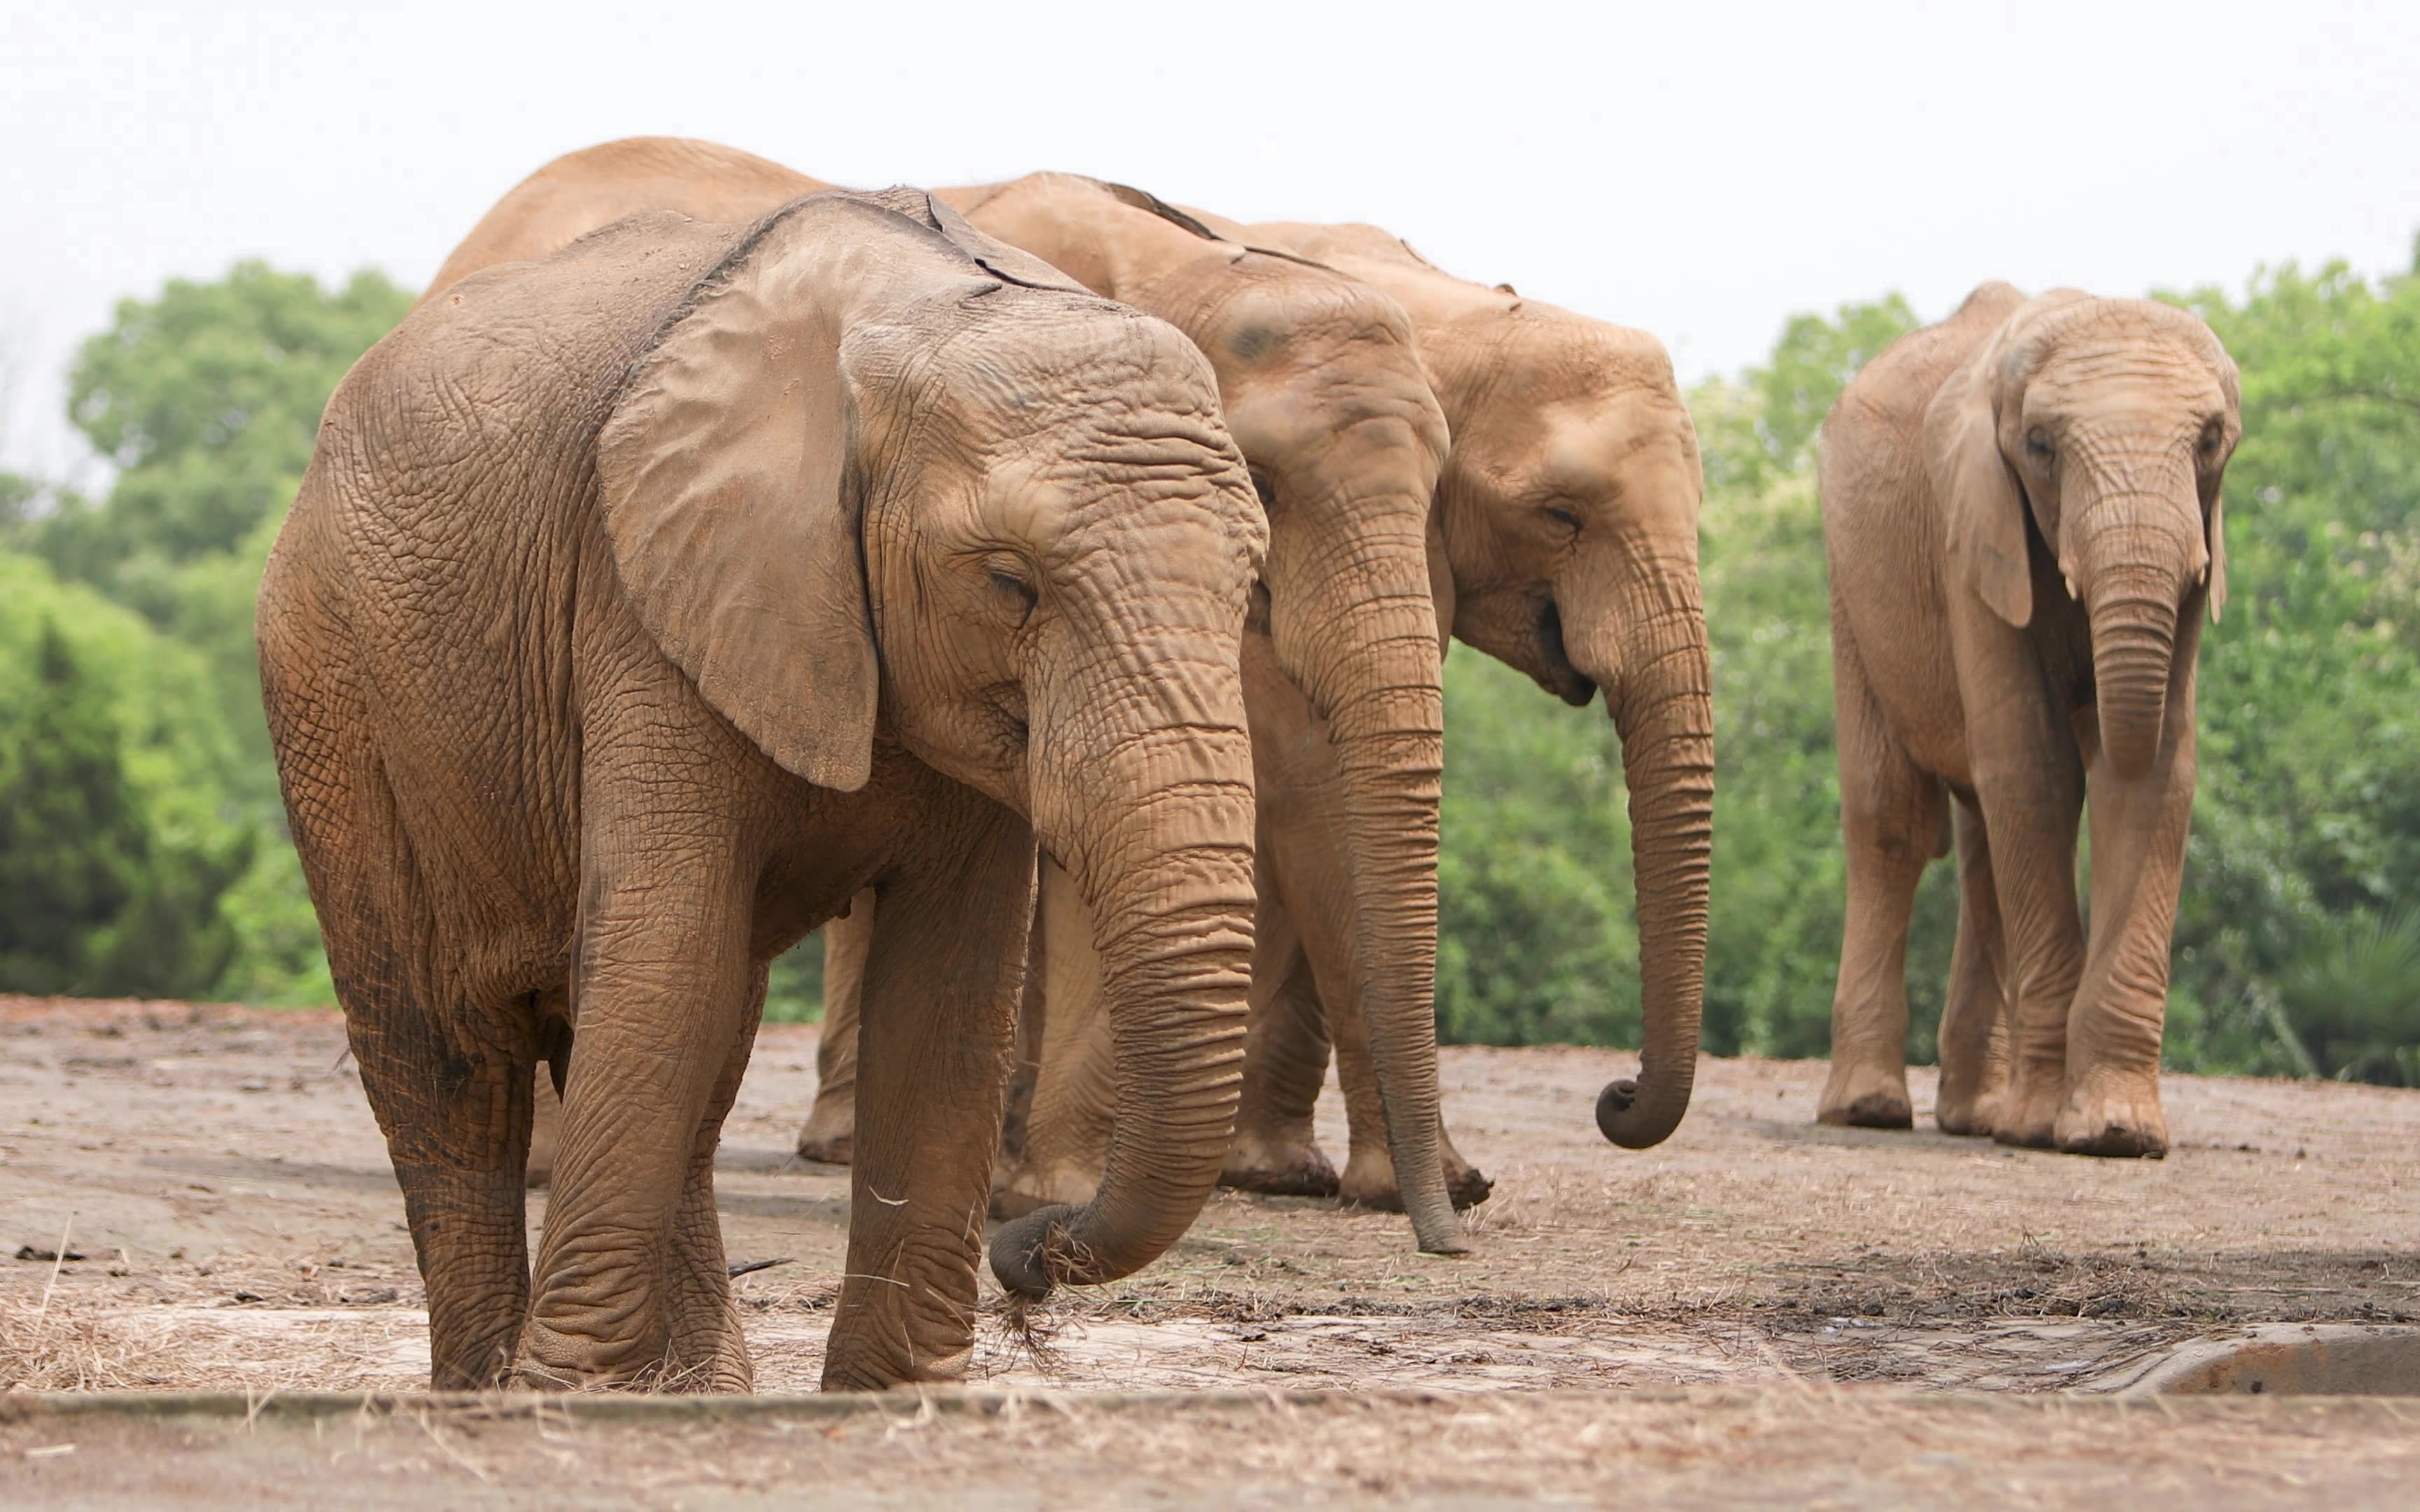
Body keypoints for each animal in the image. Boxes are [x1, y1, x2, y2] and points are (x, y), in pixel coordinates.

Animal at [255, 182, 1277, 1383]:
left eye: (1254, 584)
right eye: (1009, 581)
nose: (1028, 1255)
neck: (925, 307)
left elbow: (946, 995)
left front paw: (894, 1397)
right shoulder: (648, 596)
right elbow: (669, 955)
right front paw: (561, 1394)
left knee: (678, 1044)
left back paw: (696, 1389)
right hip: (331, 681)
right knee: (450, 1053)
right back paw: (489, 1389)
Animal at [1810, 283, 2236, 1156]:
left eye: (2212, 441)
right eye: (2040, 447)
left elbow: (2156, 774)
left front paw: (2116, 1133)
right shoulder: (1973, 530)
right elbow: (2034, 771)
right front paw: (2047, 1126)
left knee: (1980, 839)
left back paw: (1976, 1117)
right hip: (1847, 580)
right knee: (1892, 821)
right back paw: (1869, 1109)